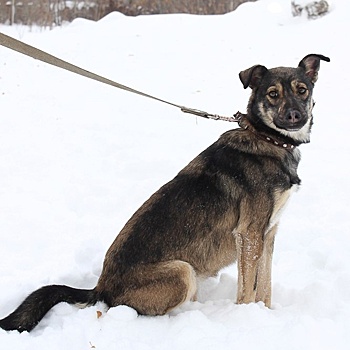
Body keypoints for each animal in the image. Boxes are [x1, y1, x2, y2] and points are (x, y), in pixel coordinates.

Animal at [0, 53, 328, 332]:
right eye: (273, 94)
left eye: (302, 90)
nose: (295, 116)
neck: (267, 138)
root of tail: (101, 288)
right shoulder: (249, 234)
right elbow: (249, 290)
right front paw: (247, 320)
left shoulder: (268, 233)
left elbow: (266, 287)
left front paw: (266, 316)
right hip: (183, 271)